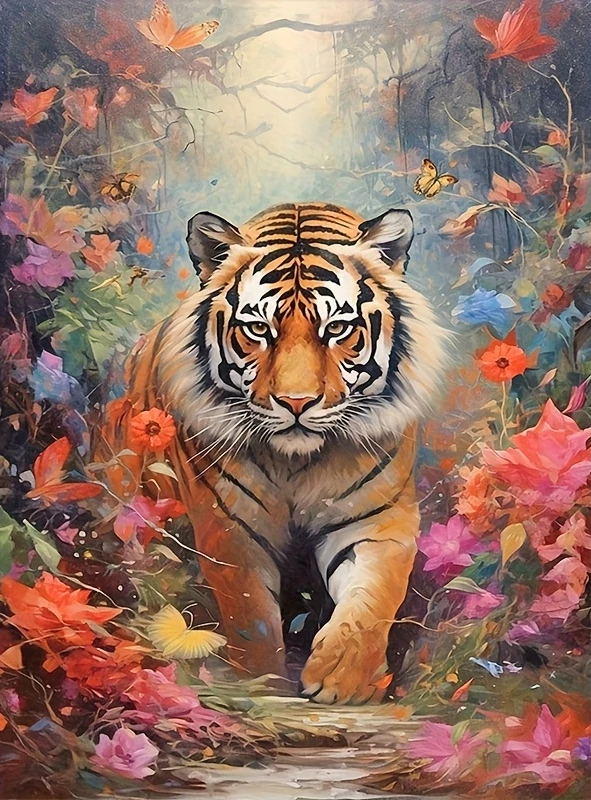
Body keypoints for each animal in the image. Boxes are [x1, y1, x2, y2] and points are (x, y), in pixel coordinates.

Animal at [98, 201, 447, 704]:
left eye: (337, 328)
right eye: (259, 329)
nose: (296, 403)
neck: (297, 462)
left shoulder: (378, 520)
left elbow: (373, 595)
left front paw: (343, 678)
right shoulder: (231, 530)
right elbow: (252, 622)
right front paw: (260, 688)